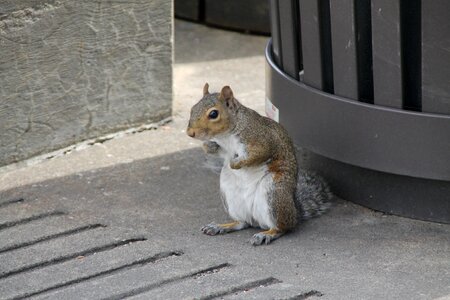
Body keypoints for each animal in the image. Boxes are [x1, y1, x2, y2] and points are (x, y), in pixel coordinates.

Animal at [185, 83, 330, 245]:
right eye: (192, 108)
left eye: (213, 114)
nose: (190, 133)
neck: (226, 134)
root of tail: (295, 212)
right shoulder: (224, 148)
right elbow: (217, 151)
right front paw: (208, 146)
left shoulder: (261, 140)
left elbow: (258, 154)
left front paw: (235, 163)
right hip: (230, 195)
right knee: (242, 222)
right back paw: (221, 226)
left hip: (274, 193)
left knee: (283, 227)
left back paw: (267, 234)